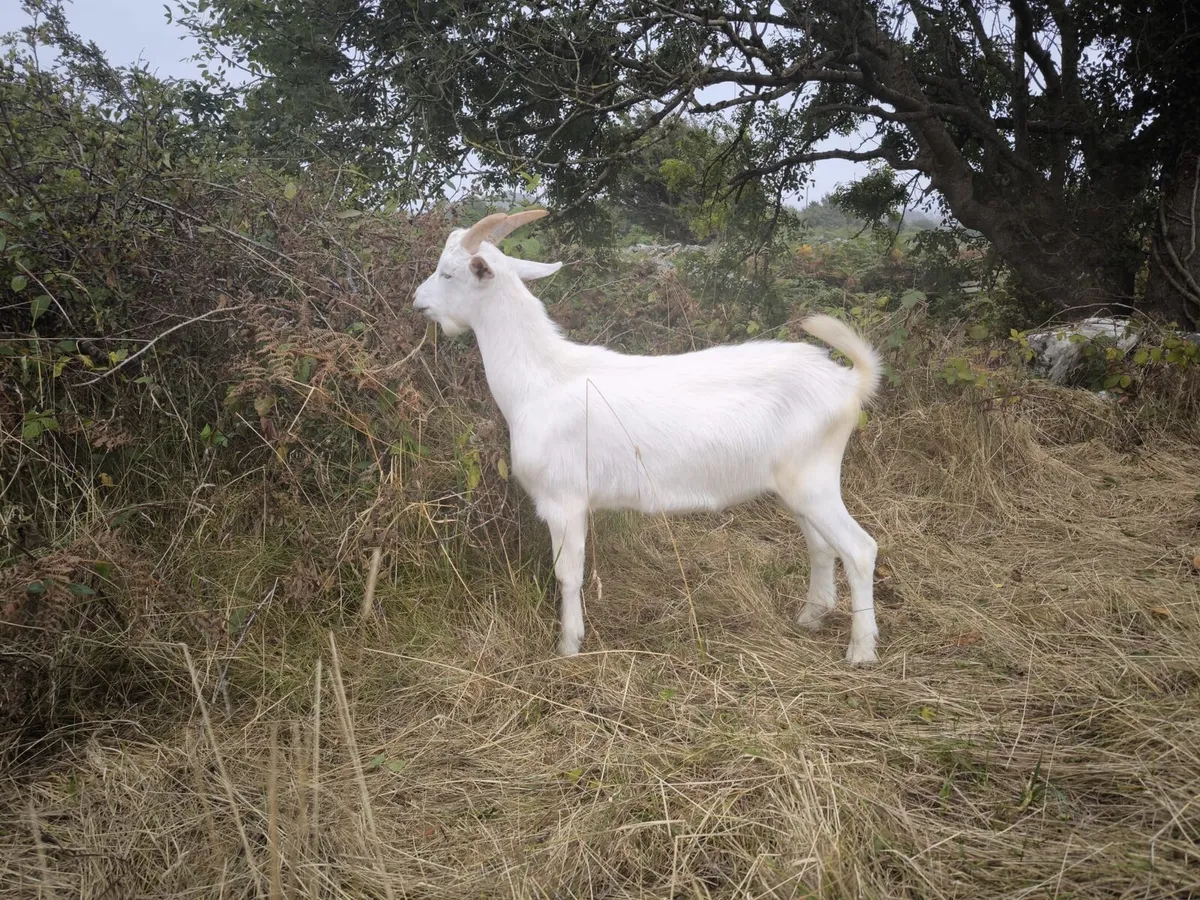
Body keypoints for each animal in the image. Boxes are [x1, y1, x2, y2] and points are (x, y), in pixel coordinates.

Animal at [413, 210, 882, 664]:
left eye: (449, 273)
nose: (418, 301)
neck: (541, 379)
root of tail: (848, 382)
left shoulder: (563, 500)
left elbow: (568, 573)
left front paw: (568, 645)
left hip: (814, 480)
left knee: (859, 549)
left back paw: (861, 650)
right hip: (797, 487)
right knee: (821, 547)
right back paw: (810, 616)